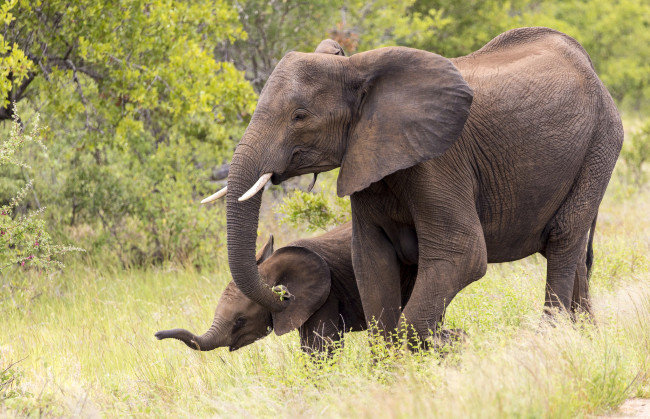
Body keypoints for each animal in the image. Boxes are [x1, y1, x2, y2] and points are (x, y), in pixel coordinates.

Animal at [206, 26, 624, 342]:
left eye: (299, 116)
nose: (282, 293)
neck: (357, 67)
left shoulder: (439, 161)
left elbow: (463, 254)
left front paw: (446, 342)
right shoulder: (367, 159)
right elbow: (371, 262)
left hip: (601, 143)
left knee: (563, 238)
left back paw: (550, 340)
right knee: (573, 249)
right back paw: (587, 340)